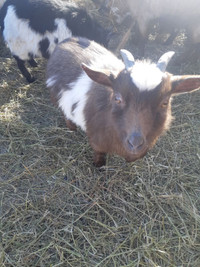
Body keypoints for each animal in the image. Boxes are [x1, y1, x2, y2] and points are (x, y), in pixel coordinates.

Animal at [46, 37, 200, 168]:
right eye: (117, 98)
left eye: (165, 102)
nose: (135, 143)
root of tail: (67, 40)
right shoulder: (97, 139)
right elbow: (98, 151)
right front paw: (99, 165)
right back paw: (72, 127)